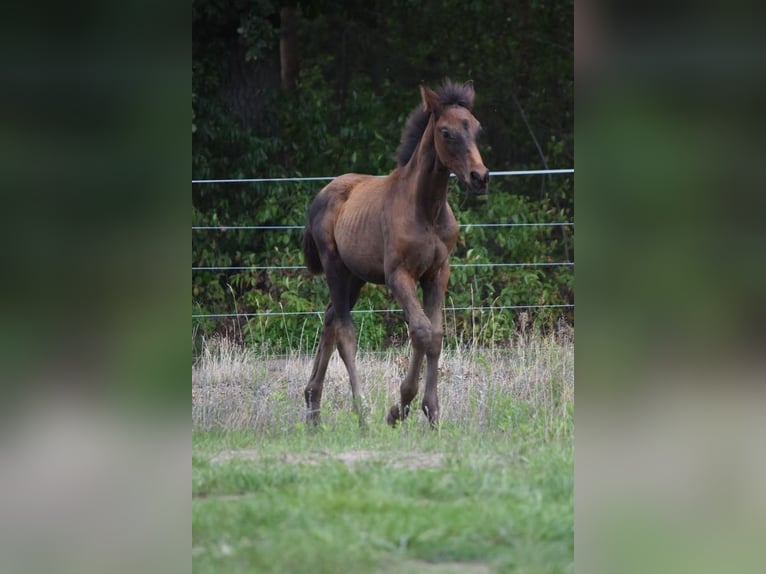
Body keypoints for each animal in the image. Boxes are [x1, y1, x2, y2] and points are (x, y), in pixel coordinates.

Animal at [301, 79, 489, 427]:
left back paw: (313, 409)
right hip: (335, 268)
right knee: (345, 331)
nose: (480, 177)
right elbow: (421, 330)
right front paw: (399, 409)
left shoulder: (438, 273)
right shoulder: (398, 275)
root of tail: (321, 194)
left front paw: (431, 412)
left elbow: (436, 334)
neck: (426, 209)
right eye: (445, 132)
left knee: (330, 319)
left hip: (355, 277)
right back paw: (361, 414)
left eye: (476, 128)